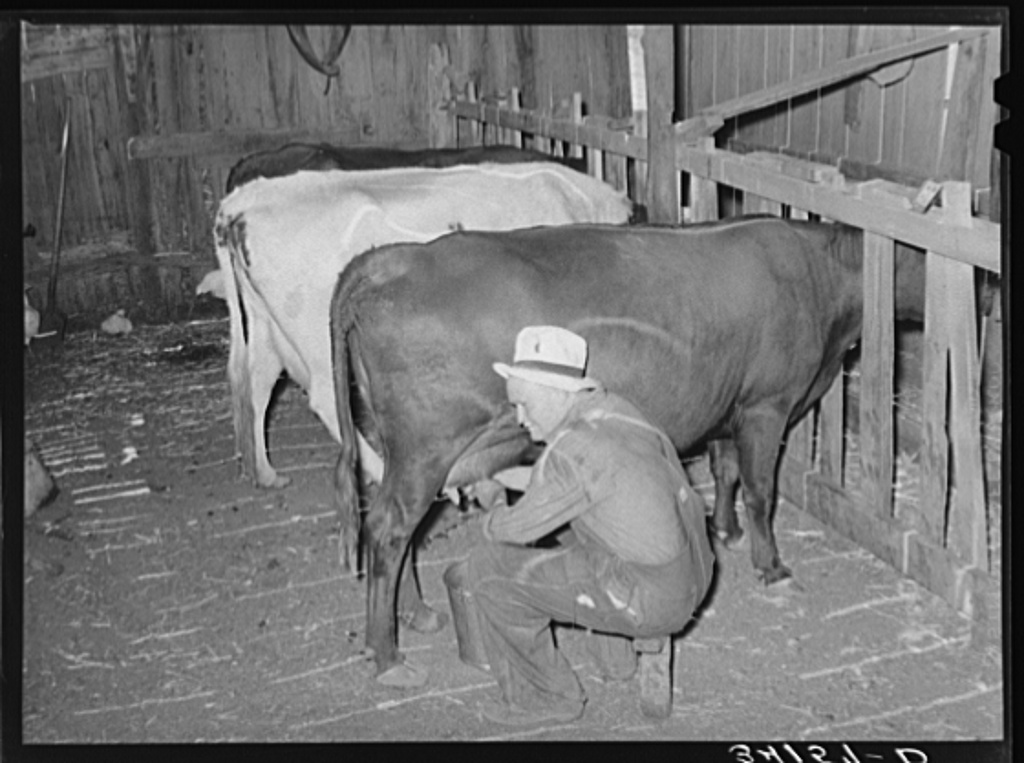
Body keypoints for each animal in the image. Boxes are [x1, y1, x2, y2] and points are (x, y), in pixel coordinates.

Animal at [213, 163, 632, 496]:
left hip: (265, 325)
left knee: (258, 384)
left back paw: (266, 473)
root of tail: (241, 202)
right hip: (315, 332)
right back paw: (384, 472)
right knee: (323, 397)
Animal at [329, 216, 927, 684]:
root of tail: (393, 258)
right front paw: (773, 567)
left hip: (401, 451)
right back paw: (386, 653)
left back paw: (415, 614)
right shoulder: (767, 405)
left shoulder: (728, 405)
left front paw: (725, 529)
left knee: (398, 529)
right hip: (426, 447)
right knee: (389, 528)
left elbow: (726, 470)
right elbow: (761, 490)